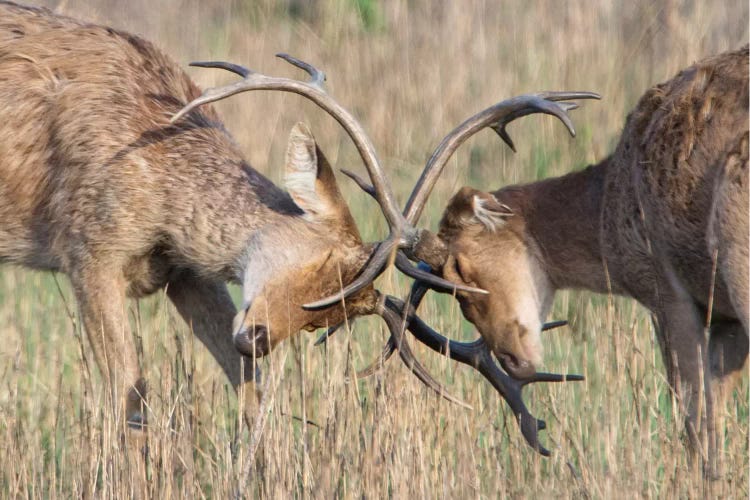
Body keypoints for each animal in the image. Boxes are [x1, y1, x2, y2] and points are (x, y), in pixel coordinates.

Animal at [0, 0, 600, 442]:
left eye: (327, 321)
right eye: (324, 262)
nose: (259, 338)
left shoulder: (185, 274)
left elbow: (252, 395)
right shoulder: (88, 249)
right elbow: (131, 399)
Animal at [346, 46, 748, 464]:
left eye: (460, 270)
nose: (513, 362)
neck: (607, 205)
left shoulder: (669, 294)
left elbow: (695, 422)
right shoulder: (724, 318)